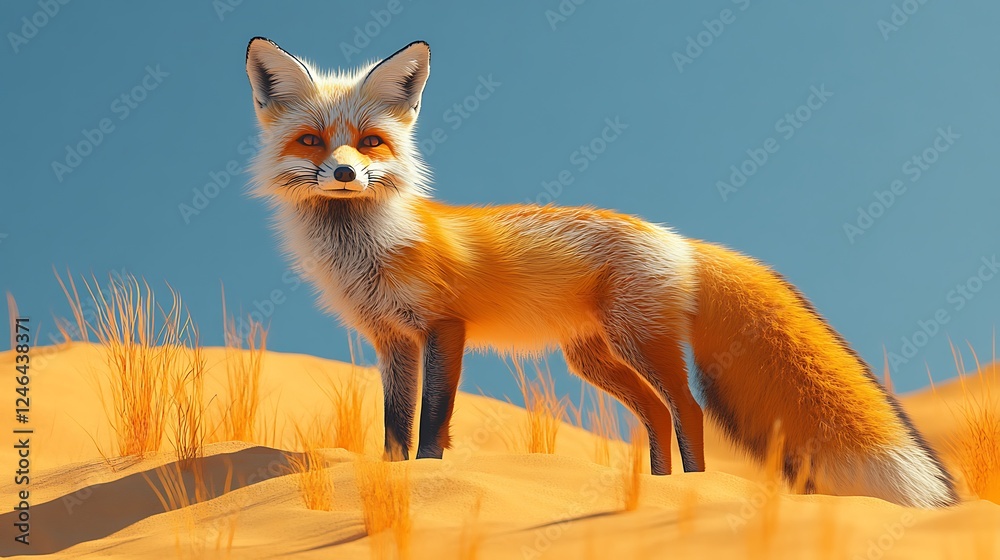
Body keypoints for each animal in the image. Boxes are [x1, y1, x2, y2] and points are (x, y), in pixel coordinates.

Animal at [244, 37, 958, 508]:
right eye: (311, 141)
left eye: (370, 143)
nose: (345, 173)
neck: (372, 246)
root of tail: (678, 239)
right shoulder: (392, 340)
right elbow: (395, 426)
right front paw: (392, 478)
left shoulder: (445, 327)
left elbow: (433, 419)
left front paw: (426, 477)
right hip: (594, 357)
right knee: (658, 415)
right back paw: (659, 489)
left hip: (639, 341)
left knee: (686, 409)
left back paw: (693, 489)